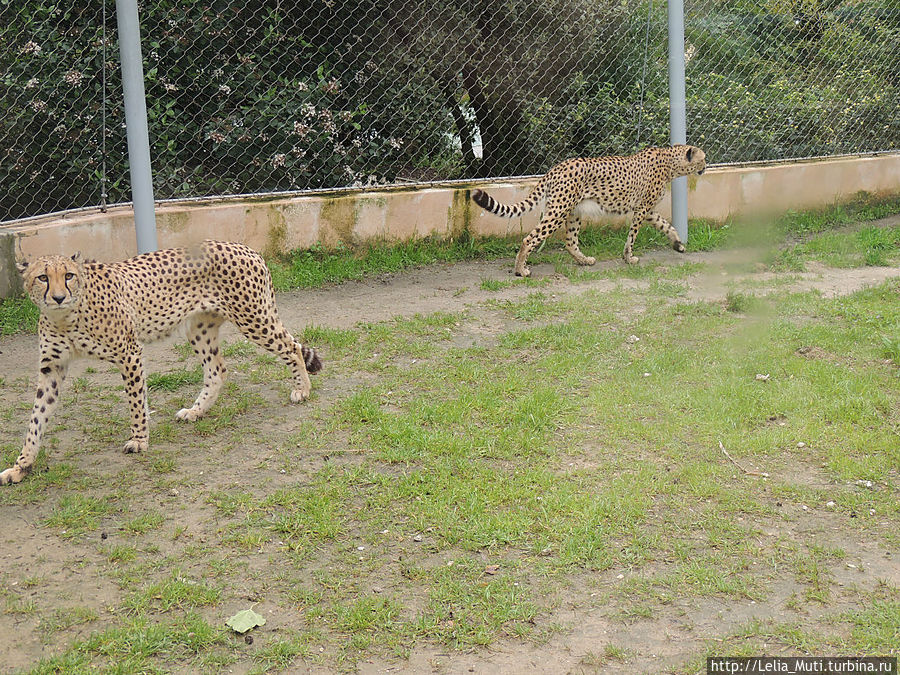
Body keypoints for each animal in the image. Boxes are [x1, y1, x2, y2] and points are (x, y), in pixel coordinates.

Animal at [0, 240, 322, 484]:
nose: (57, 297)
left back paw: (302, 389)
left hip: (253, 318)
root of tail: (244, 247)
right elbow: (36, 419)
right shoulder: (51, 368)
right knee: (217, 370)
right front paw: (22, 466)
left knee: (292, 347)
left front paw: (139, 440)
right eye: (42, 277)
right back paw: (196, 411)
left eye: (68, 275)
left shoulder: (129, 353)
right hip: (200, 328)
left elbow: (136, 402)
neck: (66, 316)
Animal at [468, 145, 708, 278]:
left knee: (569, 241)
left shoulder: (647, 210)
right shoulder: (641, 209)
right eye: (703, 158)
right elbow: (632, 236)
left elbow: (667, 225)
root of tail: (556, 167)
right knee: (530, 238)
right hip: (558, 210)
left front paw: (678, 244)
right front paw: (628, 258)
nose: (706, 166)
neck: (671, 163)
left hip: (573, 212)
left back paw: (584, 261)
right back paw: (521, 270)